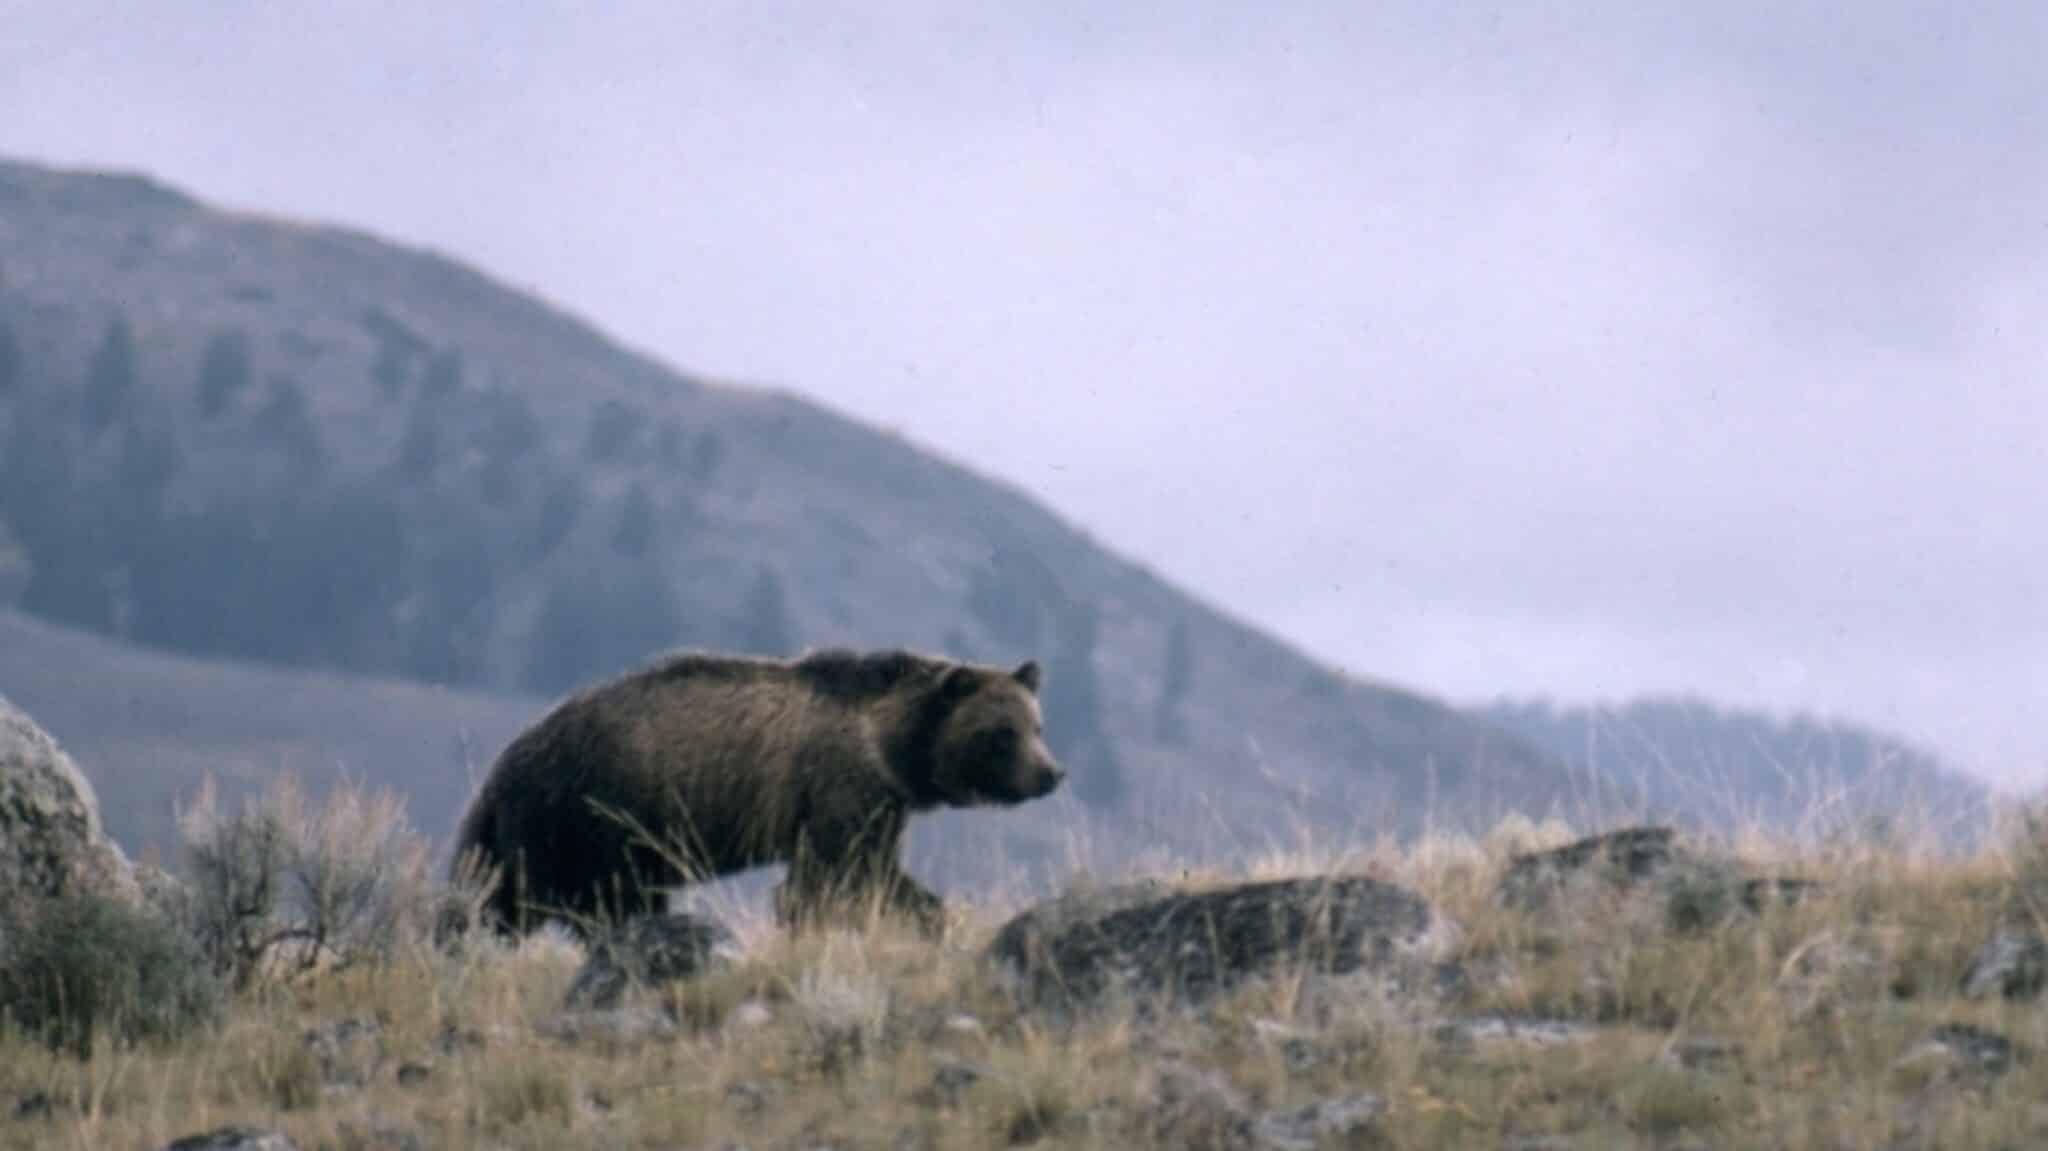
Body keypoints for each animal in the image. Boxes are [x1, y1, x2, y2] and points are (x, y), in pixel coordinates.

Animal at [449, 647, 1065, 938]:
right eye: (1002, 733)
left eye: (1037, 726)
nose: (1051, 774)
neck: (892, 746)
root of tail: (506, 763)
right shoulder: (839, 787)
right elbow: (839, 874)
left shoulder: (880, 806)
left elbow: (868, 870)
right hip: (590, 817)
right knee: (567, 902)